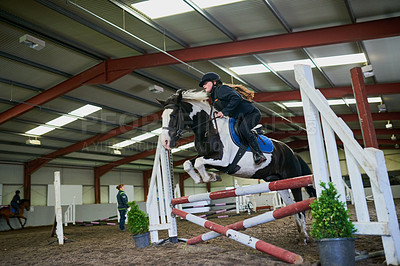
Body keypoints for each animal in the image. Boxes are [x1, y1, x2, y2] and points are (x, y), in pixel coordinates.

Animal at [158, 89, 318, 243]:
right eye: (162, 118)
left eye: (173, 115)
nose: (165, 142)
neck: (209, 129)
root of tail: (292, 152)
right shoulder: (207, 156)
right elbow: (188, 164)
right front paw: (203, 179)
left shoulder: (223, 160)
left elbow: (198, 163)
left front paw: (210, 177)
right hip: (279, 183)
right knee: (292, 206)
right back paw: (300, 235)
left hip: (293, 180)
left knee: (300, 207)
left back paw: (304, 237)